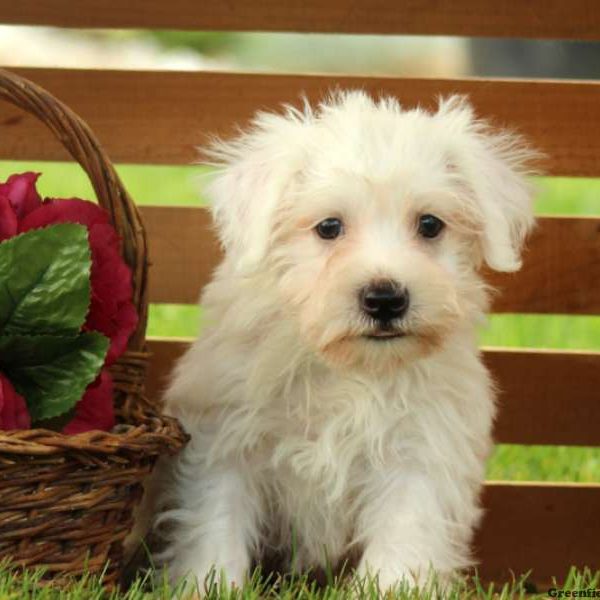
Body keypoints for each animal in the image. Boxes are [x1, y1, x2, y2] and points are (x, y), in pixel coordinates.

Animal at [145, 92, 536, 592]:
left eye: (430, 224)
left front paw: (394, 590)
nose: (385, 299)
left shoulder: (419, 448)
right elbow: (216, 524)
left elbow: (403, 537)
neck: (347, 367)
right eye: (329, 227)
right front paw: (207, 586)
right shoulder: (227, 440)